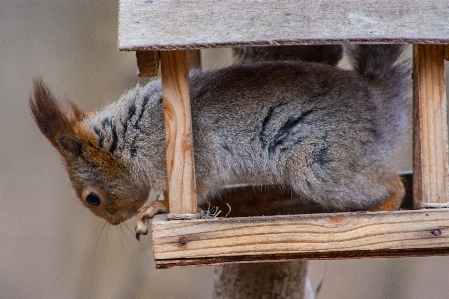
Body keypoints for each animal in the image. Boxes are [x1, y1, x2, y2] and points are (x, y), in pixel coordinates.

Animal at [30, 45, 410, 241]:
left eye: (92, 198)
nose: (113, 221)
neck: (126, 140)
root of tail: (378, 103)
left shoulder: (194, 155)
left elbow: (195, 187)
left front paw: (157, 207)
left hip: (323, 168)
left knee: (393, 183)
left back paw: (383, 209)